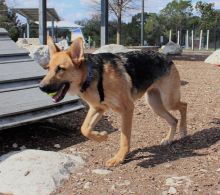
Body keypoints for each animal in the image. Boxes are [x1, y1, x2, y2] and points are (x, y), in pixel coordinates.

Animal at [39, 36, 187, 166]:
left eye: (60, 69)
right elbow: (84, 129)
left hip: (168, 101)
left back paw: (184, 130)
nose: (40, 87)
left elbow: (124, 138)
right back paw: (169, 139)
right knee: (174, 119)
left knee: (184, 106)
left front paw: (119, 158)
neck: (92, 76)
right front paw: (101, 137)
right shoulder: (98, 108)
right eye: (48, 68)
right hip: (155, 105)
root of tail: (166, 57)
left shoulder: (127, 109)